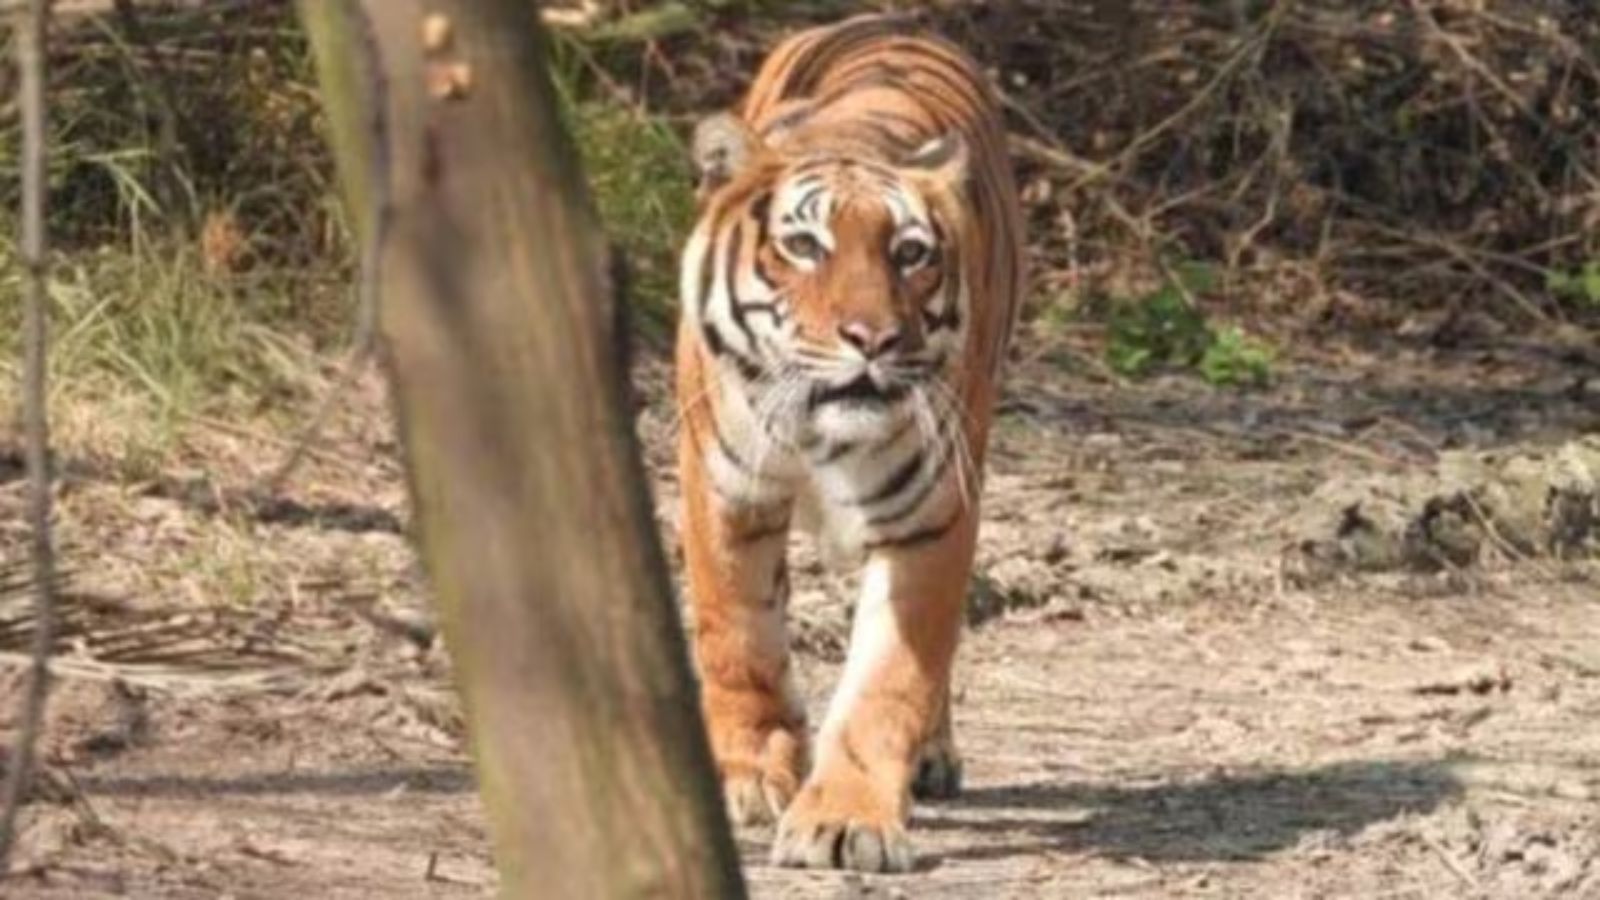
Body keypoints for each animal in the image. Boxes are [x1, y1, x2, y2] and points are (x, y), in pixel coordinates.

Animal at [675, 14, 1025, 872]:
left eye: (910, 253)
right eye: (805, 246)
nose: (874, 338)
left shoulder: (933, 515)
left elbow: (890, 678)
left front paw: (844, 819)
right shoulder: (726, 489)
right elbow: (737, 637)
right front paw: (750, 776)